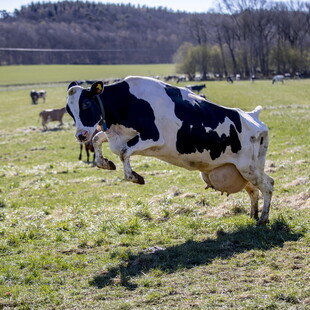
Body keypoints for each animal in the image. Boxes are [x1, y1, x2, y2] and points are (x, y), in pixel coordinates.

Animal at [66, 75, 274, 225]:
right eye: (69, 110)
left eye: (85, 104)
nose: (80, 135)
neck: (127, 102)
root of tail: (252, 116)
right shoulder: (115, 135)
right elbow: (98, 139)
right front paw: (105, 163)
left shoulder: (153, 136)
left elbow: (125, 152)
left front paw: (135, 177)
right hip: (241, 169)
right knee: (254, 190)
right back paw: (253, 215)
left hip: (249, 167)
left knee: (268, 185)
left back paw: (263, 219)